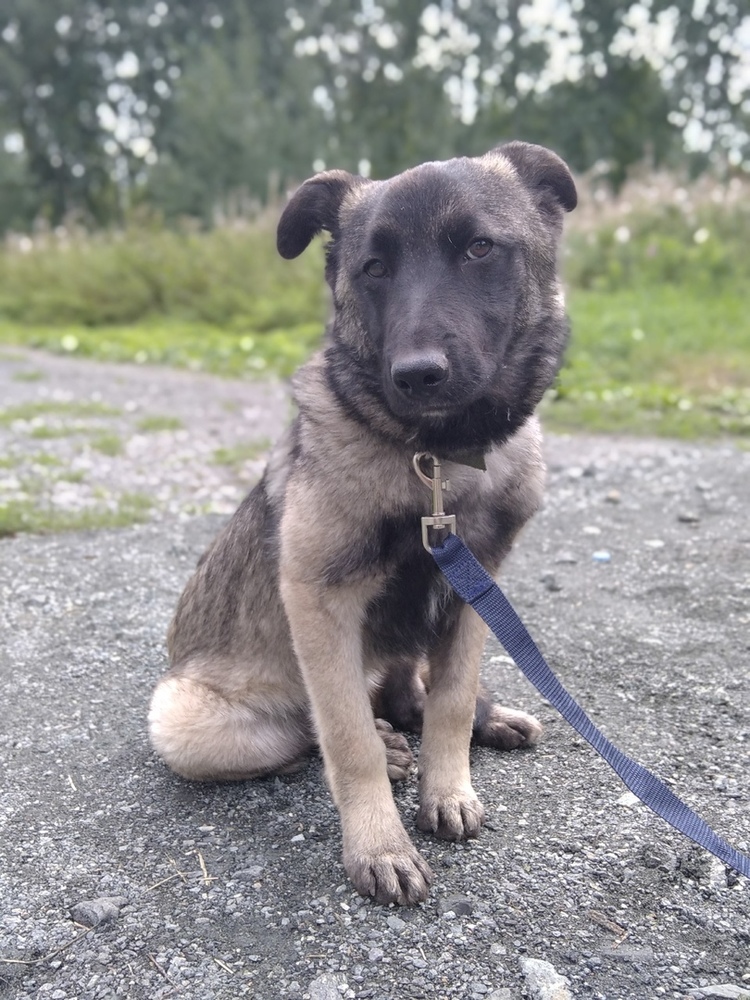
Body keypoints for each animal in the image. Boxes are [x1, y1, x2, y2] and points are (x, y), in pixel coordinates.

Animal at [148, 141, 577, 905]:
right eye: (373, 268)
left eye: (479, 248)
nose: (417, 375)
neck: (436, 457)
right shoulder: (318, 603)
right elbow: (347, 741)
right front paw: (380, 843)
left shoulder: (476, 592)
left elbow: (451, 700)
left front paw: (449, 784)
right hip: (183, 718)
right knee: (314, 732)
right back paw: (387, 747)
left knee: (414, 693)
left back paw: (476, 720)